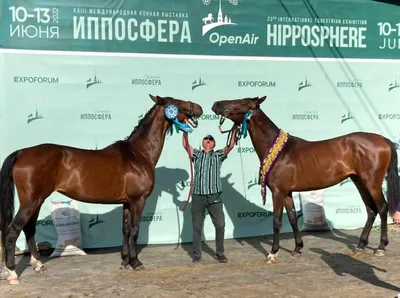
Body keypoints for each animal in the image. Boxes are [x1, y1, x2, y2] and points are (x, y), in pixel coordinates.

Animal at [0, 95, 202, 284]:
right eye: (177, 102)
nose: (199, 108)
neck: (138, 153)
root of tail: (22, 152)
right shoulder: (138, 200)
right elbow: (135, 230)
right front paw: (136, 263)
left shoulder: (127, 203)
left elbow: (125, 229)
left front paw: (125, 261)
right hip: (31, 202)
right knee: (13, 231)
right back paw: (12, 273)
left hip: (37, 201)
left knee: (29, 229)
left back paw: (38, 264)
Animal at [211, 95, 398, 264]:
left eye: (243, 102)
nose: (216, 104)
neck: (279, 151)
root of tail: (383, 140)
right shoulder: (287, 193)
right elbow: (293, 218)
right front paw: (297, 248)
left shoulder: (278, 192)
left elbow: (277, 222)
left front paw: (273, 253)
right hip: (359, 181)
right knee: (371, 210)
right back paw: (360, 245)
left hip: (372, 183)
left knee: (382, 207)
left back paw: (381, 247)